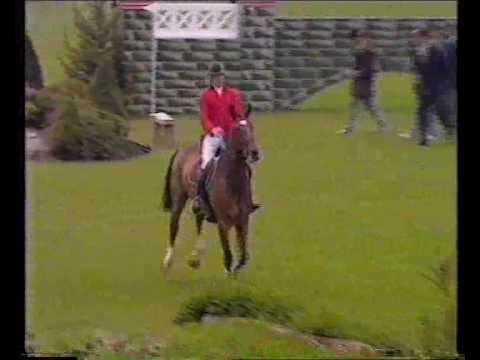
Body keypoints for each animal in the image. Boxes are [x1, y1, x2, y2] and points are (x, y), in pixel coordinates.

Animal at [161, 107, 260, 276]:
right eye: (238, 130)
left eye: (252, 127)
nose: (254, 153)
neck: (232, 182)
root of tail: (182, 151)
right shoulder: (223, 223)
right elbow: (228, 255)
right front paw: (229, 274)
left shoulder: (243, 220)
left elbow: (243, 256)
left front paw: (235, 272)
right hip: (178, 198)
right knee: (174, 225)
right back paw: (168, 262)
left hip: (199, 206)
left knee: (198, 221)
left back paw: (195, 258)